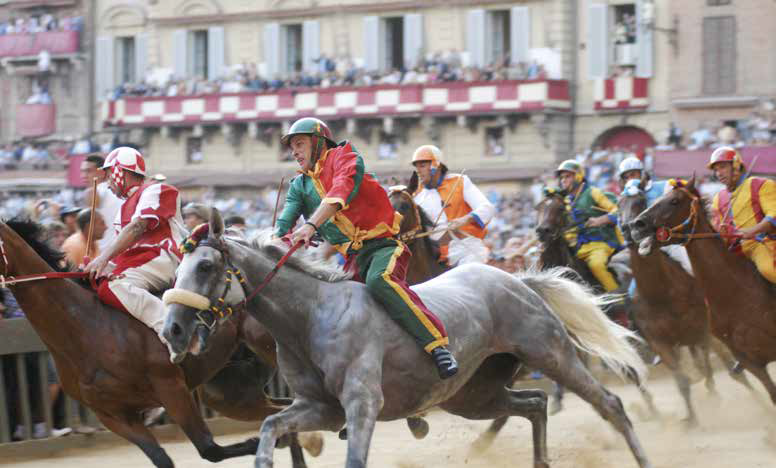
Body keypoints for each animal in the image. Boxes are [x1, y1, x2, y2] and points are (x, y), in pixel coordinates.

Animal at [0, 220, 316, 468]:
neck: (85, 329)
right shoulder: (113, 415)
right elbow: (163, 459)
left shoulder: (170, 386)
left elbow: (209, 448)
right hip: (228, 392)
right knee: (280, 410)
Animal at [164, 211, 656, 468]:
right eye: (177, 267)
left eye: (205, 266)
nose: (172, 329)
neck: (309, 318)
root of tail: (517, 278)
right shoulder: (319, 408)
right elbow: (270, 428)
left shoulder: (362, 403)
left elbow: (354, 458)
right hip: (472, 395)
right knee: (534, 404)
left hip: (551, 353)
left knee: (610, 404)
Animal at [616, 178, 748, 424]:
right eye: (618, 204)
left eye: (640, 201)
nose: (631, 228)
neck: (662, 294)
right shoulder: (659, 342)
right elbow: (682, 381)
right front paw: (692, 420)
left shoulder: (702, 330)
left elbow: (715, 365)